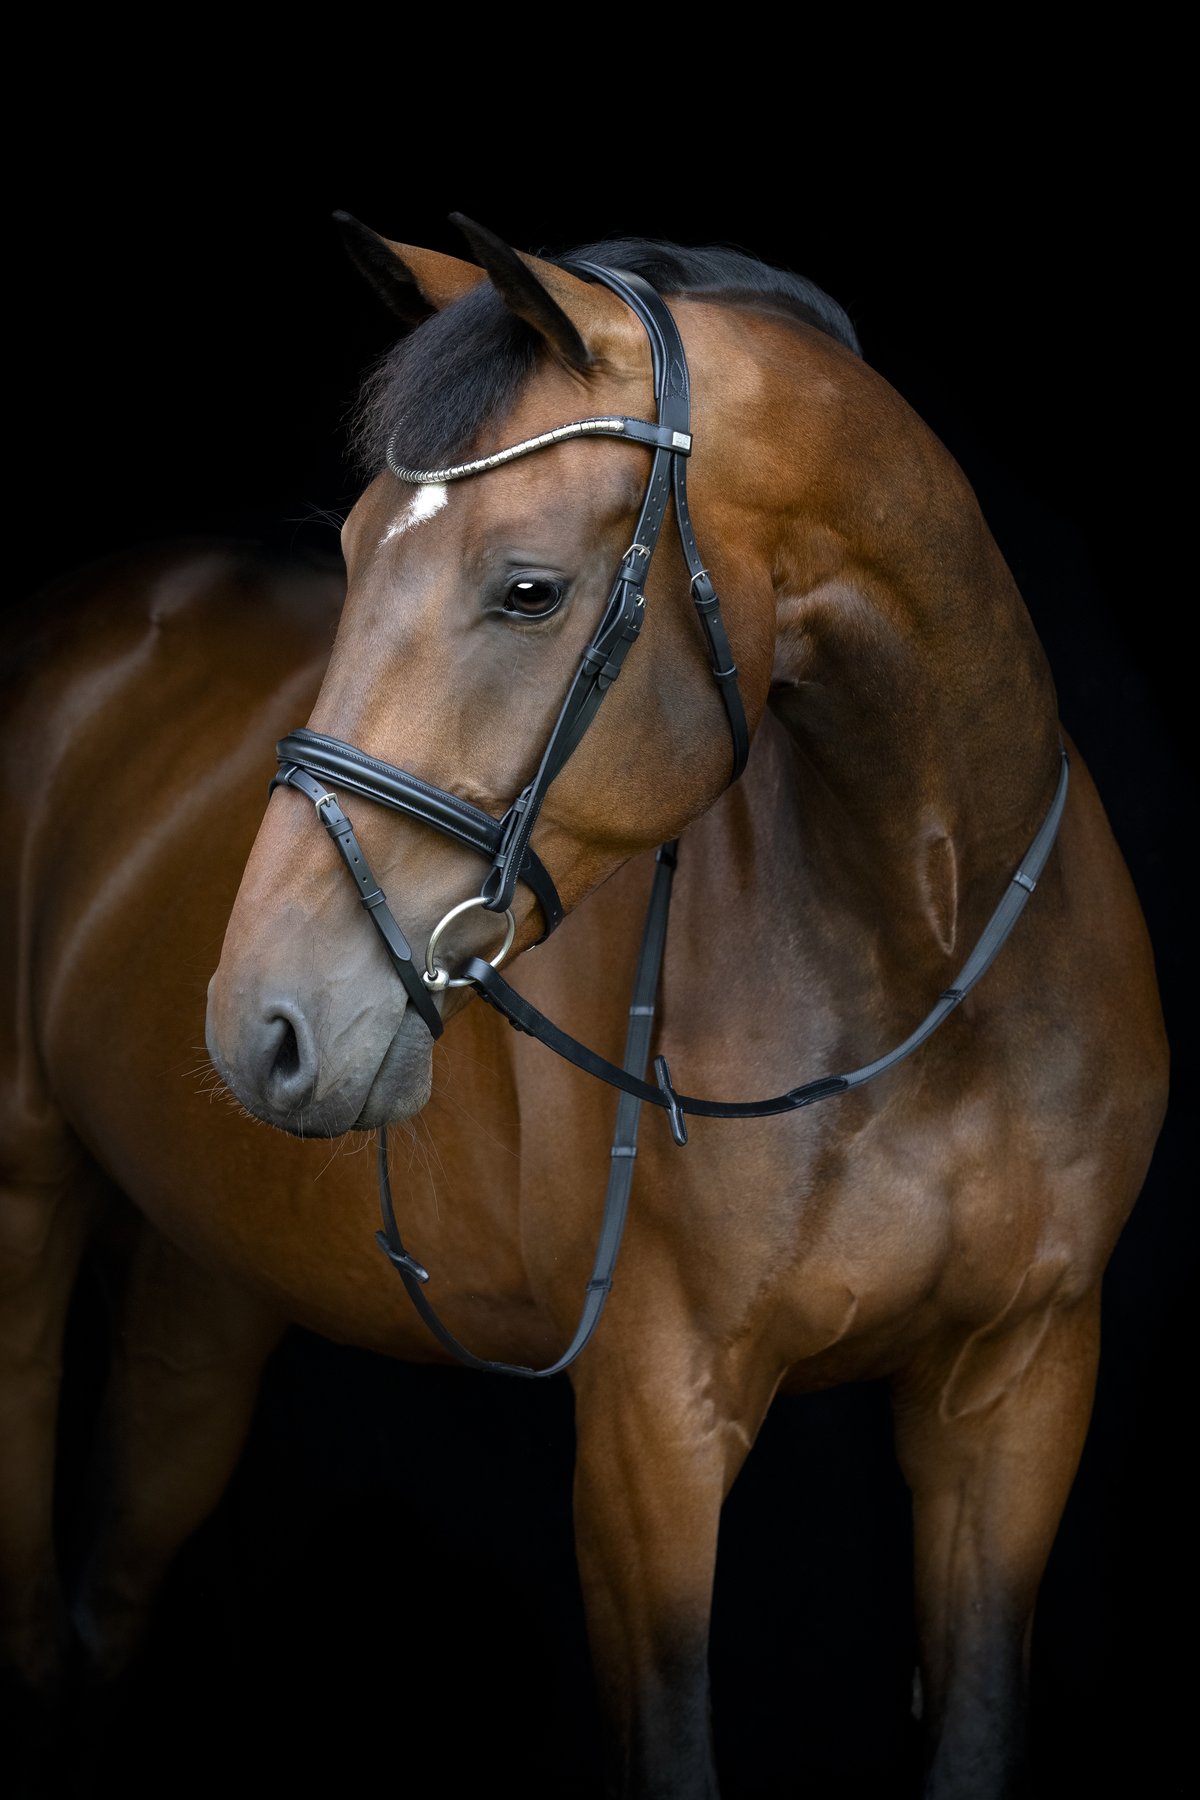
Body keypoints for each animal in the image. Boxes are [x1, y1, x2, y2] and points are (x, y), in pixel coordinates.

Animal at [2, 218, 1167, 1799]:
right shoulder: (648, 1432)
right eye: (351, 550)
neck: (926, 970)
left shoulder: (1019, 1394)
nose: (263, 1025)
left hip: (207, 1278)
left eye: (530, 590)